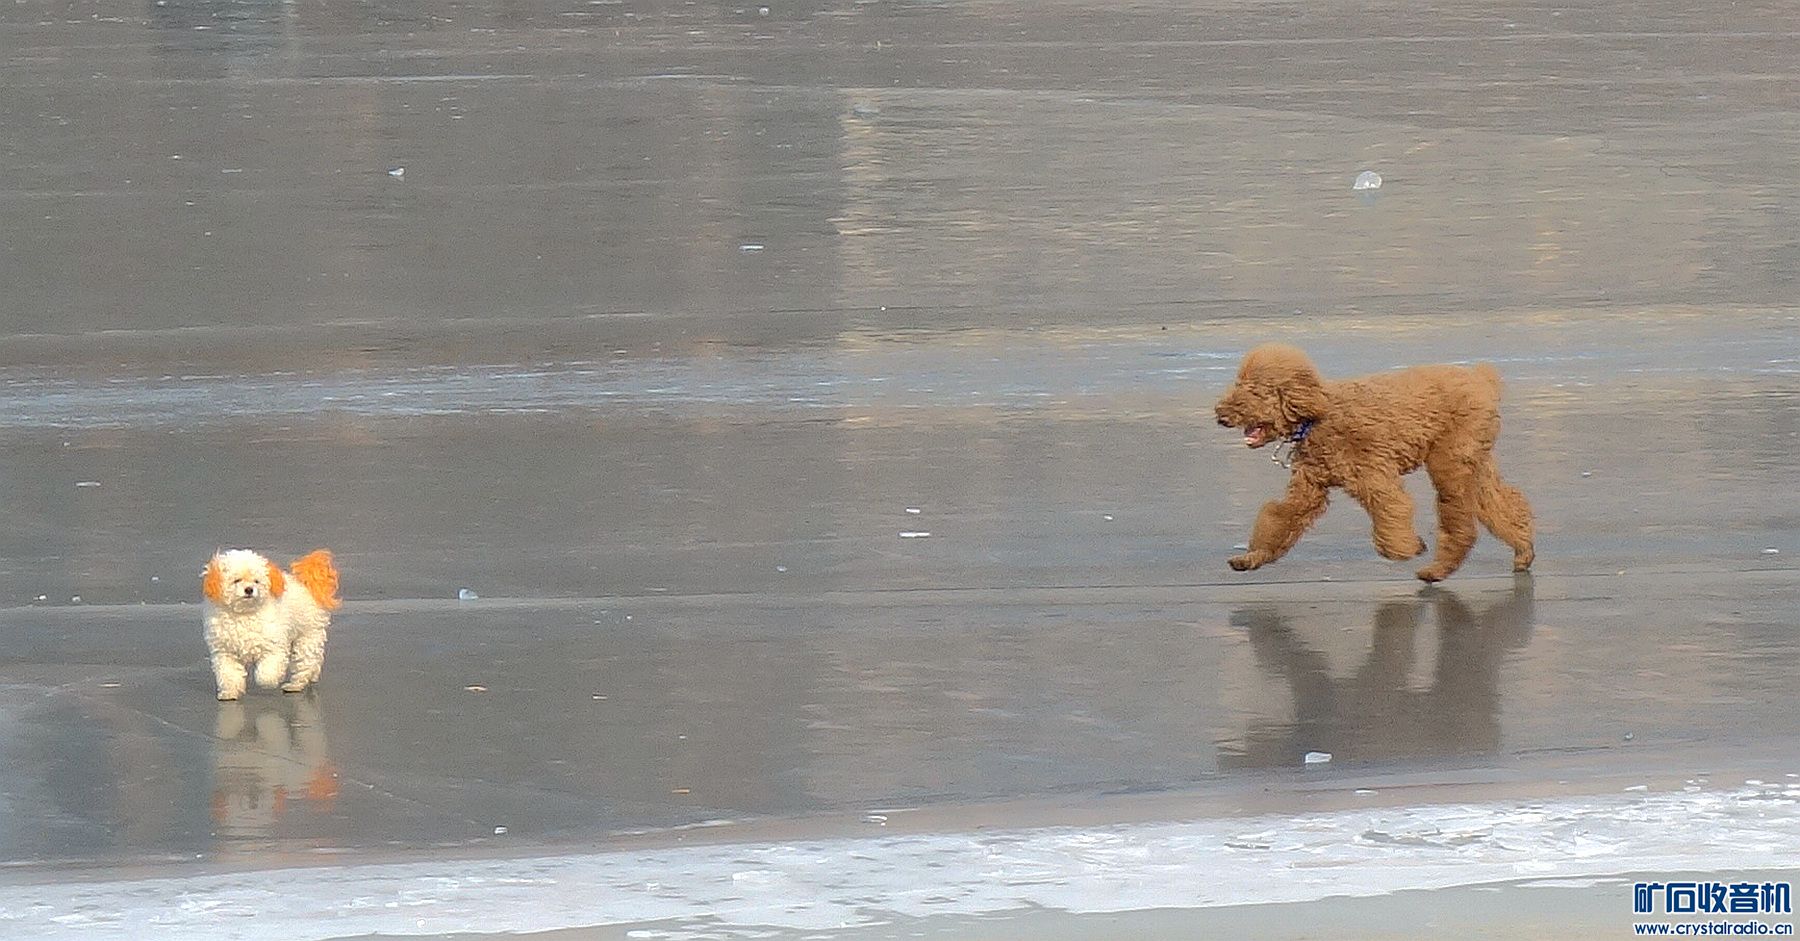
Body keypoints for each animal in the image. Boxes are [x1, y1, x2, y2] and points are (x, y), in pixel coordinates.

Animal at [202, 549, 341, 700]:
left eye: (257, 581)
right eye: (236, 580)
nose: (249, 589)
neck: (245, 613)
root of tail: (307, 585)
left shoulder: (274, 646)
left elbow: (267, 673)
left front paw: (268, 681)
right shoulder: (225, 652)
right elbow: (229, 674)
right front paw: (230, 692)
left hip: (307, 636)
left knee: (305, 664)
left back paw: (295, 685)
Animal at [1213, 344, 1534, 582]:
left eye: (1255, 391)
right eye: (1238, 384)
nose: (1220, 414)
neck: (1318, 416)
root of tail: (1482, 379)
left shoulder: (1374, 477)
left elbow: (1393, 511)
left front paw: (1407, 548)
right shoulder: (1309, 488)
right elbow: (1280, 518)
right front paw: (1251, 558)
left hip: (1450, 461)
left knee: (1461, 522)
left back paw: (1436, 570)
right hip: (1474, 462)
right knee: (1502, 505)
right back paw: (1523, 551)